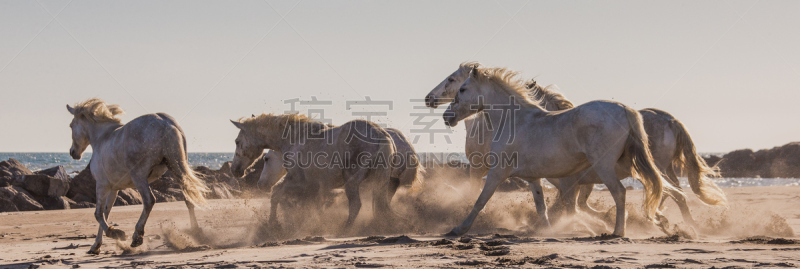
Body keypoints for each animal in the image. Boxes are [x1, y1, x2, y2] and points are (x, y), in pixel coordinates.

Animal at [65, 98, 208, 253]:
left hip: (139, 176)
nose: (73, 153)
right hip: (176, 169)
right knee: (188, 199)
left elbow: (98, 214)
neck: (102, 138)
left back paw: (137, 237)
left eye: (71, 125)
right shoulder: (114, 189)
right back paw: (196, 232)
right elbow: (106, 212)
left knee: (149, 200)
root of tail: (165, 124)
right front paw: (96, 245)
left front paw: (116, 233)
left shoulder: (102, 185)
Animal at [440, 66, 680, 234]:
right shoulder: (533, 178)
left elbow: (480, 200)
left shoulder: (497, 172)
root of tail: (625, 109)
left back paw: (617, 232)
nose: (446, 116)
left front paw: (458, 229)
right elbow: (541, 206)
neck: (514, 121)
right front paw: (548, 230)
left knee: (620, 193)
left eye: (462, 88)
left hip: (604, 166)